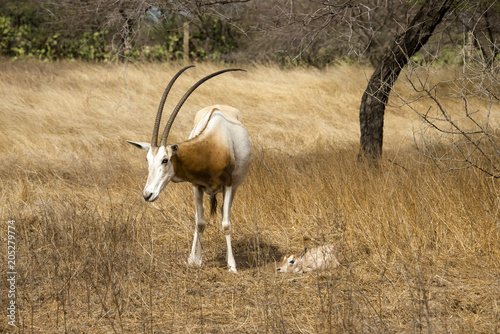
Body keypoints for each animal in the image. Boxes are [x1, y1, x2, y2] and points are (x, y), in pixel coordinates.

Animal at [127, 66, 252, 272]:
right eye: (147, 159)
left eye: (165, 160)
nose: (147, 194)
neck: (212, 147)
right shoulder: (196, 187)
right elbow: (199, 221)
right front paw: (196, 260)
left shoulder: (228, 185)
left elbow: (226, 224)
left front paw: (232, 266)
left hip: (235, 187)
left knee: (225, 214)